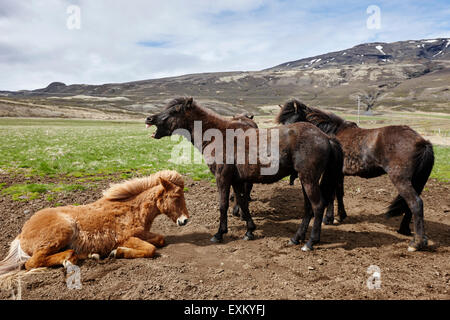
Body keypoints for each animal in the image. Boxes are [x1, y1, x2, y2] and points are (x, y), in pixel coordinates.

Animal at [0, 170, 189, 276]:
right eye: (176, 196)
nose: (185, 220)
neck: (132, 209)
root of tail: (21, 234)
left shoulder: (144, 233)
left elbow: (160, 239)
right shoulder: (127, 237)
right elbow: (151, 249)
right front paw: (117, 252)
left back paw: (89, 255)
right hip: (62, 233)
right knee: (32, 262)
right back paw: (70, 260)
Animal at [146, 96, 342, 251]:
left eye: (175, 110)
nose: (149, 118)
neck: (218, 136)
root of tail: (325, 137)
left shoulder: (222, 177)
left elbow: (223, 204)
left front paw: (219, 234)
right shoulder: (237, 180)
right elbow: (242, 202)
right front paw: (249, 230)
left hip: (308, 179)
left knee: (318, 206)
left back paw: (310, 242)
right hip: (304, 180)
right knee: (308, 208)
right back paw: (296, 238)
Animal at [276, 99, 434, 251]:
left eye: (294, 121)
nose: (284, 146)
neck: (332, 133)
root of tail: (422, 142)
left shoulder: (333, 173)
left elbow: (332, 194)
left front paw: (329, 218)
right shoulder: (338, 174)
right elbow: (338, 193)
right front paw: (339, 216)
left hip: (401, 179)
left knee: (415, 203)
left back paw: (416, 243)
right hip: (416, 181)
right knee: (410, 205)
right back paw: (404, 230)